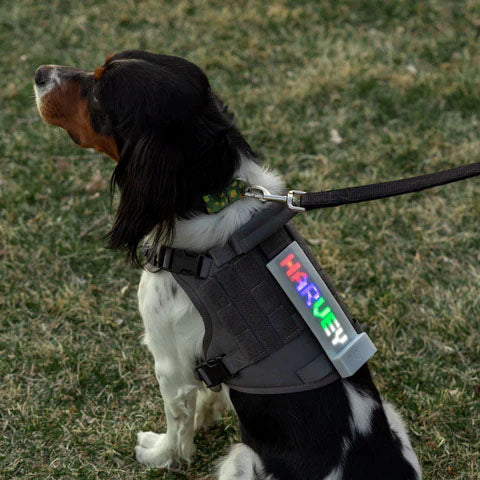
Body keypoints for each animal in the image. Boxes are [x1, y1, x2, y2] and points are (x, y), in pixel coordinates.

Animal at [35, 49, 422, 480]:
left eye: (100, 91)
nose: (38, 73)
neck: (211, 195)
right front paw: (209, 414)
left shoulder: (168, 362)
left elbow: (177, 424)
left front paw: (159, 454)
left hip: (239, 460)